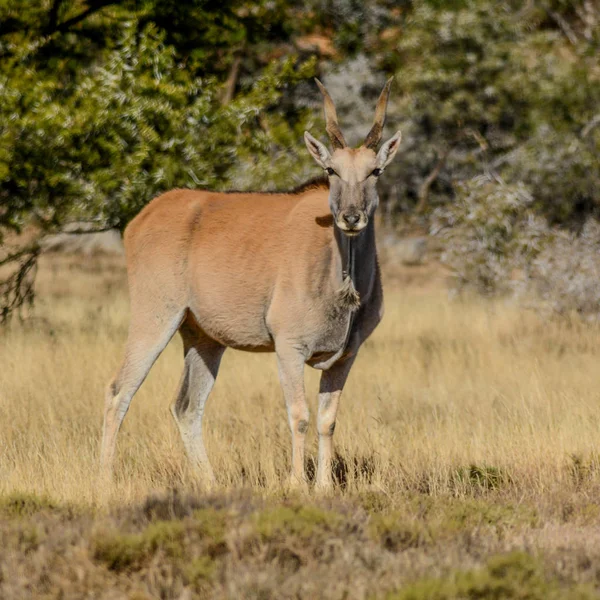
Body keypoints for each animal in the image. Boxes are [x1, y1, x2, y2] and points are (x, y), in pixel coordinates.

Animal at [101, 77, 404, 488]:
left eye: (375, 172)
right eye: (331, 170)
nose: (351, 217)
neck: (340, 281)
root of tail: (142, 217)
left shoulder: (346, 356)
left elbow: (327, 421)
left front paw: (324, 486)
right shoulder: (288, 349)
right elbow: (300, 416)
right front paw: (297, 484)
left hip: (204, 339)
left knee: (186, 406)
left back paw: (210, 483)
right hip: (155, 318)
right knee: (119, 391)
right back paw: (103, 479)